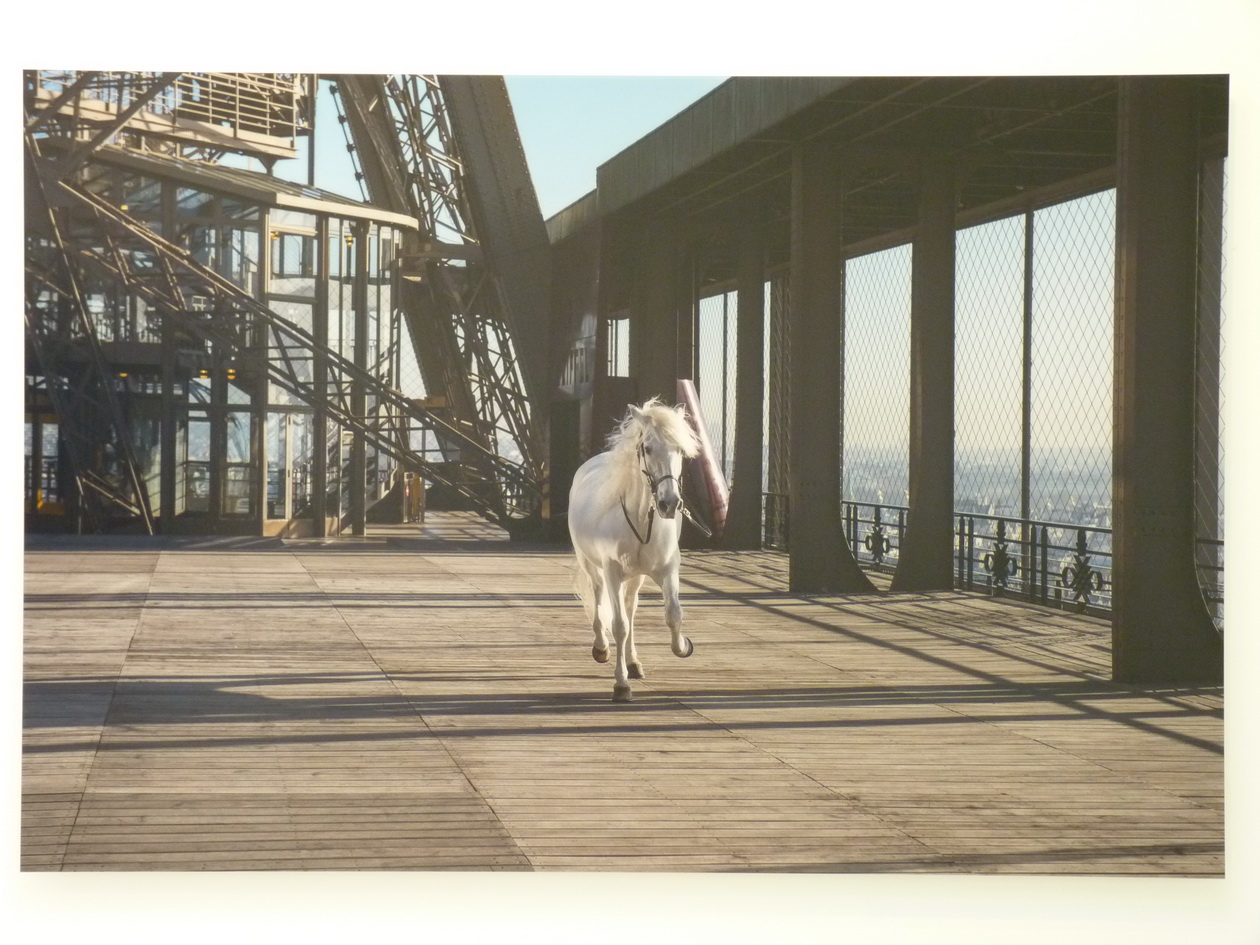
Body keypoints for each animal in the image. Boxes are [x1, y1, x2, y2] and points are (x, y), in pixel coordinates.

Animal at [568, 398, 702, 702]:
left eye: (679, 449)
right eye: (648, 448)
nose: (669, 504)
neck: (641, 519)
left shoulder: (668, 569)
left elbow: (673, 614)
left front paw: (683, 646)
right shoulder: (612, 571)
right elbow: (618, 625)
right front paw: (621, 685)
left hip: (636, 577)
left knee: (631, 609)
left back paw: (633, 663)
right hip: (591, 565)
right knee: (599, 600)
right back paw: (601, 649)